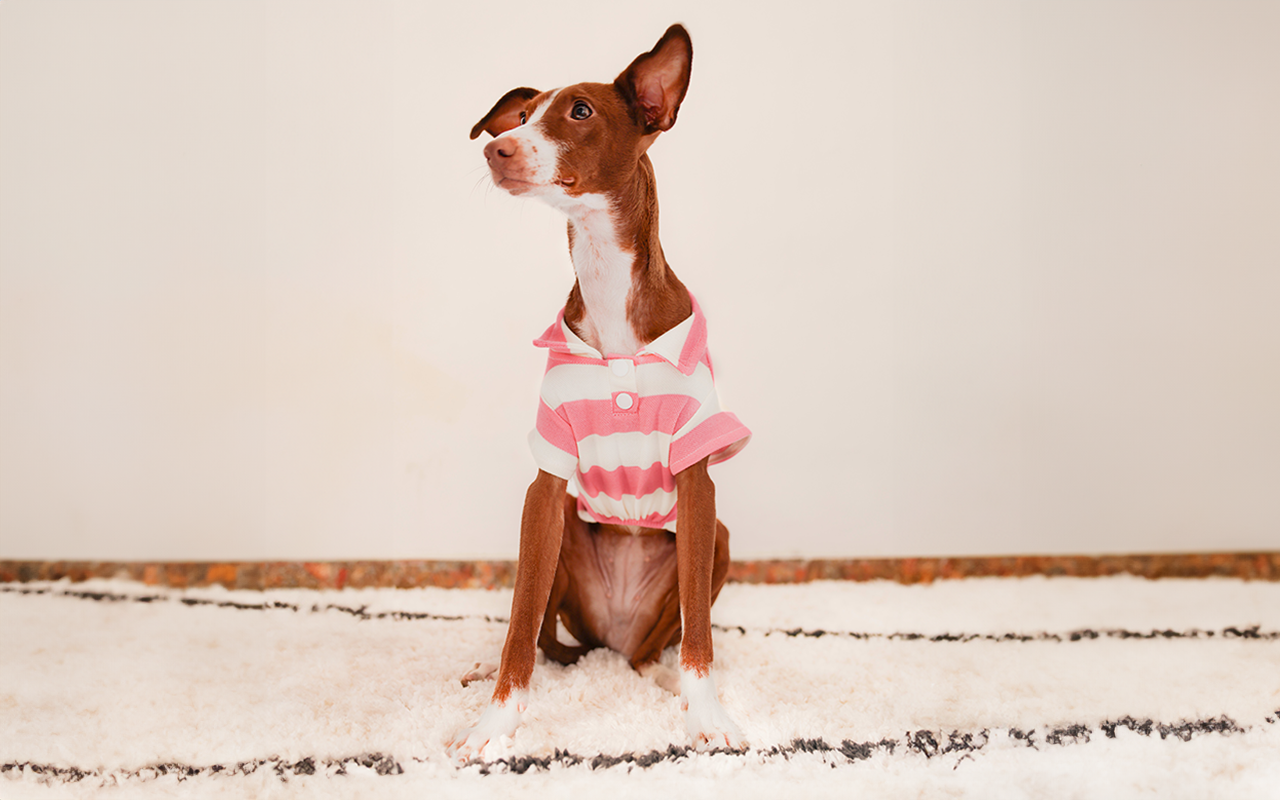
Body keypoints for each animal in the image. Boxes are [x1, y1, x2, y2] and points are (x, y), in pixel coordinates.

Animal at [448, 23, 747, 762]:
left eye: (580, 112)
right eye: (523, 115)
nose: (496, 148)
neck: (609, 282)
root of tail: (611, 639)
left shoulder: (698, 481)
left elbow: (700, 632)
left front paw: (706, 715)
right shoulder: (545, 487)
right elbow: (519, 624)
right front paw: (495, 725)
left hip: (717, 542)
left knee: (657, 646)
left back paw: (662, 677)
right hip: (558, 536)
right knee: (545, 638)